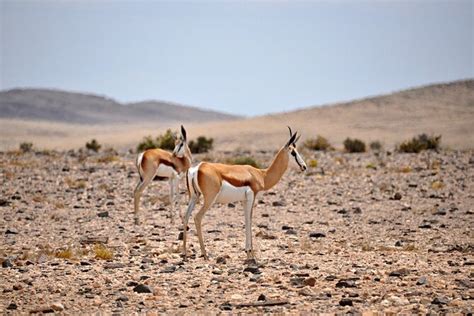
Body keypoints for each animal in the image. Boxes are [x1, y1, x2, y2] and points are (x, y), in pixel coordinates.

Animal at [181, 127, 308, 260]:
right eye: (293, 152)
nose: (304, 166)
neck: (261, 175)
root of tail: (197, 168)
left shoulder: (243, 200)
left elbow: (246, 219)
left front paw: (248, 251)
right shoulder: (252, 196)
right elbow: (249, 220)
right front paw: (250, 252)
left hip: (194, 197)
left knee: (186, 216)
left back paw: (184, 252)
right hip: (209, 199)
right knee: (197, 217)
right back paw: (205, 254)